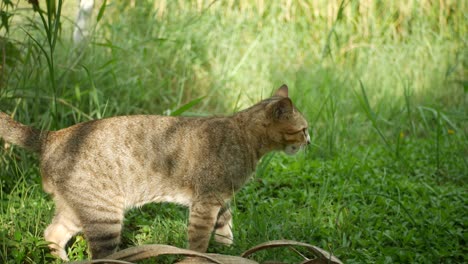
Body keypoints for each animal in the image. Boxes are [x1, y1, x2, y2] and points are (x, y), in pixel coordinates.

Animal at [0, 85, 308, 260]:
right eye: (303, 129)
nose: (309, 140)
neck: (244, 136)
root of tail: (52, 136)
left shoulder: (220, 199)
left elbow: (225, 229)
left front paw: (228, 251)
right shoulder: (206, 201)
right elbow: (198, 242)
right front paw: (199, 257)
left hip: (78, 210)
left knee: (52, 233)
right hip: (104, 216)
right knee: (95, 255)